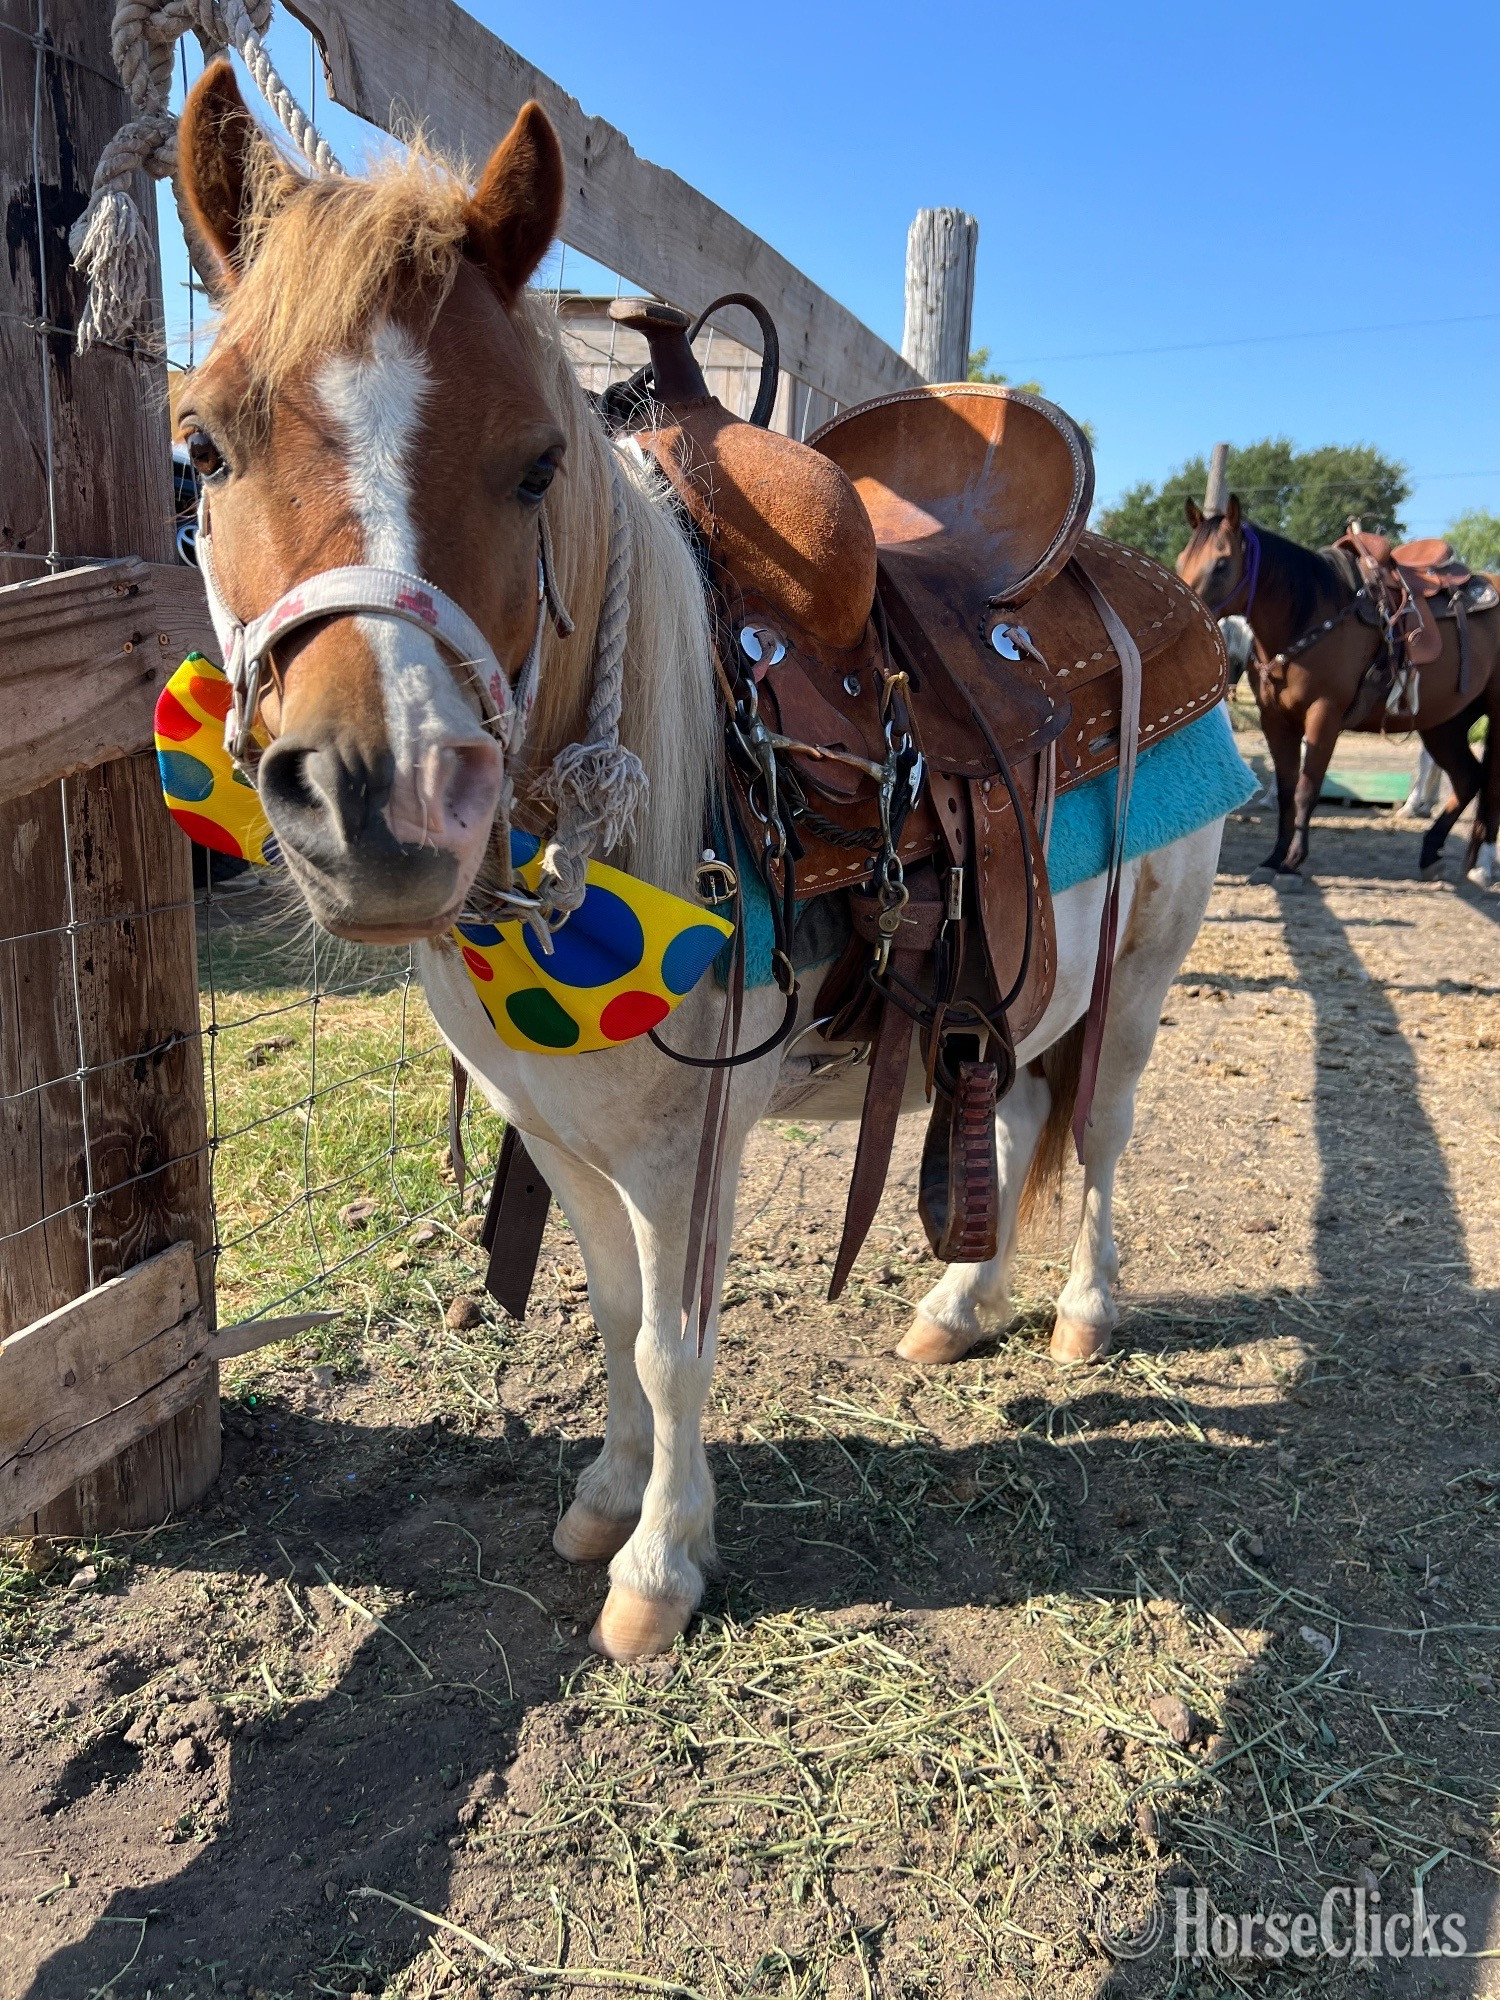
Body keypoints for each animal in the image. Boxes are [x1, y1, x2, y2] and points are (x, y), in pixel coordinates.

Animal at [174, 61, 1231, 1660]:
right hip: (1015, 989)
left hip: (1146, 974)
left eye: (538, 464)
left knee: (1099, 1132)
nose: (381, 802)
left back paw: (1083, 1312)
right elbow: (615, 1318)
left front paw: (661, 1568)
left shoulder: (692, 1151)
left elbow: (677, 1344)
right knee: (1005, 1108)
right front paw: (607, 1497)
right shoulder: (559, 1131)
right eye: (204, 445)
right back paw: (961, 1301)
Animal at [1176, 497, 1500, 888]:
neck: (1311, 615)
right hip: (1444, 722)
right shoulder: (1276, 720)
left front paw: (1292, 864)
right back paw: (1431, 854)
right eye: (1181, 559)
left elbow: (1306, 790)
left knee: (1490, 785)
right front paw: (1273, 859)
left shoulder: (1324, 714)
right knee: (1468, 778)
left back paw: (1484, 865)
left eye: (1222, 563)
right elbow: (1286, 791)